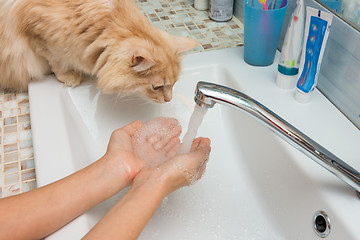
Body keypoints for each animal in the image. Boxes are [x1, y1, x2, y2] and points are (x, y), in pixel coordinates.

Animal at [0, 0, 197, 102]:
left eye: (174, 84)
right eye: (156, 87)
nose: (169, 100)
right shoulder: (39, 34)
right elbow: (57, 61)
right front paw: (69, 76)